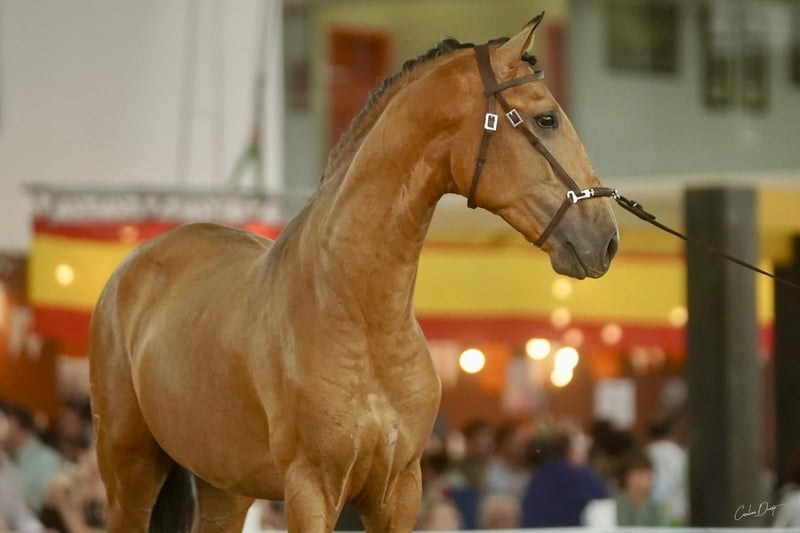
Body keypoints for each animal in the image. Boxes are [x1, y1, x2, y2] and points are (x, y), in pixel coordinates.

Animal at [89, 13, 619, 533]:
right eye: (546, 119)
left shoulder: (399, 491)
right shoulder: (312, 489)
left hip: (224, 485)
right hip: (130, 473)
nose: (606, 238)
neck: (360, 318)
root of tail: (135, 265)